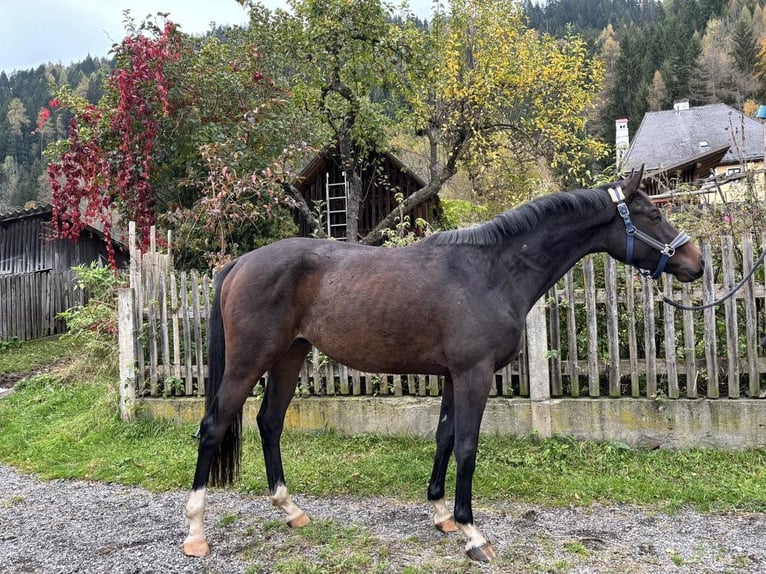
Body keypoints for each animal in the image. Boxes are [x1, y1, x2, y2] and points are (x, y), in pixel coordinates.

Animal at [183, 170, 704, 564]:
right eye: (654, 214)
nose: (695, 262)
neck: (493, 271)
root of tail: (238, 263)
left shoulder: (455, 377)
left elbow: (445, 438)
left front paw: (442, 515)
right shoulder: (475, 374)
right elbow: (468, 447)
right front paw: (474, 535)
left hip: (290, 356)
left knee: (269, 422)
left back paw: (290, 510)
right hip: (248, 362)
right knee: (213, 427)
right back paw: (196, 534)